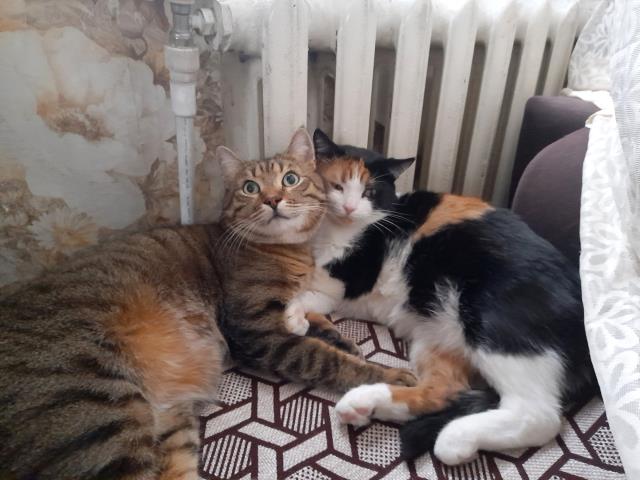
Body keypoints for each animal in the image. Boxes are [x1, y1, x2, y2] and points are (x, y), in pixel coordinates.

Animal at [0, 128, 414, 480]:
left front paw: (338, 336)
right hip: (96, 411)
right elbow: (325, 358)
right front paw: (388, 378)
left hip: (169, 420)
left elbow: (315, 319)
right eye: (250, 187)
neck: (288, 251)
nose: (272, 200)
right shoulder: (256, 331)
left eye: (290, 179)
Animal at [286, 128, 596, 466]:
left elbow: (303, 292)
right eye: (337, 186)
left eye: (369, 191)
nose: (350, 208)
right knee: (444, 391)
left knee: (538, 416)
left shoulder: (343, 282)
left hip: (493, 320)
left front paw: (293, 316)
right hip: (435, 337)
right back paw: (366, 402)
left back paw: (455, 438)